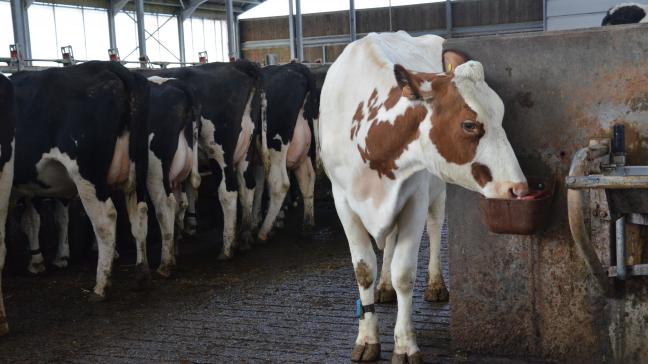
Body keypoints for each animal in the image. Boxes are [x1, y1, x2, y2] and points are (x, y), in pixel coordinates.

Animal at [10, 61, 150, 302]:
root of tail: (110, 67)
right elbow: (40, 219)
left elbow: (31, 220)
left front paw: (38, 263)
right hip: (136, 170)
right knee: (138, 212)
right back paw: (140, 274)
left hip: (87, 174)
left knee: (105, 219)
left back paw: (100, 286)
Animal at [139, 60, 266, 258]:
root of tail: (238, 65)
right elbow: (184, 198)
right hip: (246, 150)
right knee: (248, 186)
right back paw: (245, 237)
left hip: (220, 152)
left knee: (228, 191)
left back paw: (227, 248)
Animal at [253, 61, 318, 242]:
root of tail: (296, 66)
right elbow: (258, 186)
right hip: (304, 148)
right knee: (307, 177)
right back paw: (307, 224)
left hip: (276, 145)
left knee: (279, 183)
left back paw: (264, 232)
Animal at [318, 32, 528, 362]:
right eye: (469, 124)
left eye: (502, 116)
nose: (517, 188)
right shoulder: (343, 201)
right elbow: (364, 270)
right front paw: (367, 338)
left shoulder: (414, 197)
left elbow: (405, 272)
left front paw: (405, 344)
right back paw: (384, 287)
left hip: (437, 192)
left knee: (434, 228)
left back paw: (435, 284)